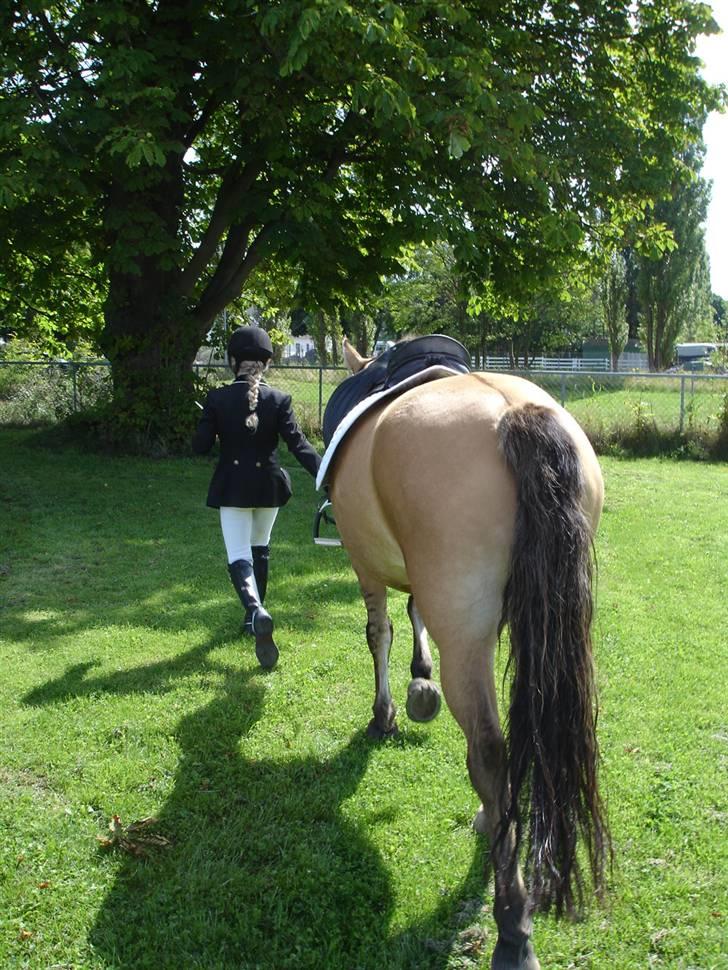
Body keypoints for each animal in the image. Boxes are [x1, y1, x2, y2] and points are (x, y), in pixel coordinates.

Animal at [322, 336, 612, 964]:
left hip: (465, 631)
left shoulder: (366, 566)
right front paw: (419, 680)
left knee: (488, 751)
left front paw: (388, 710)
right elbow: (412, 613)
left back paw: (512, 925)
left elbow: (379, 632)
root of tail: (515, 415)